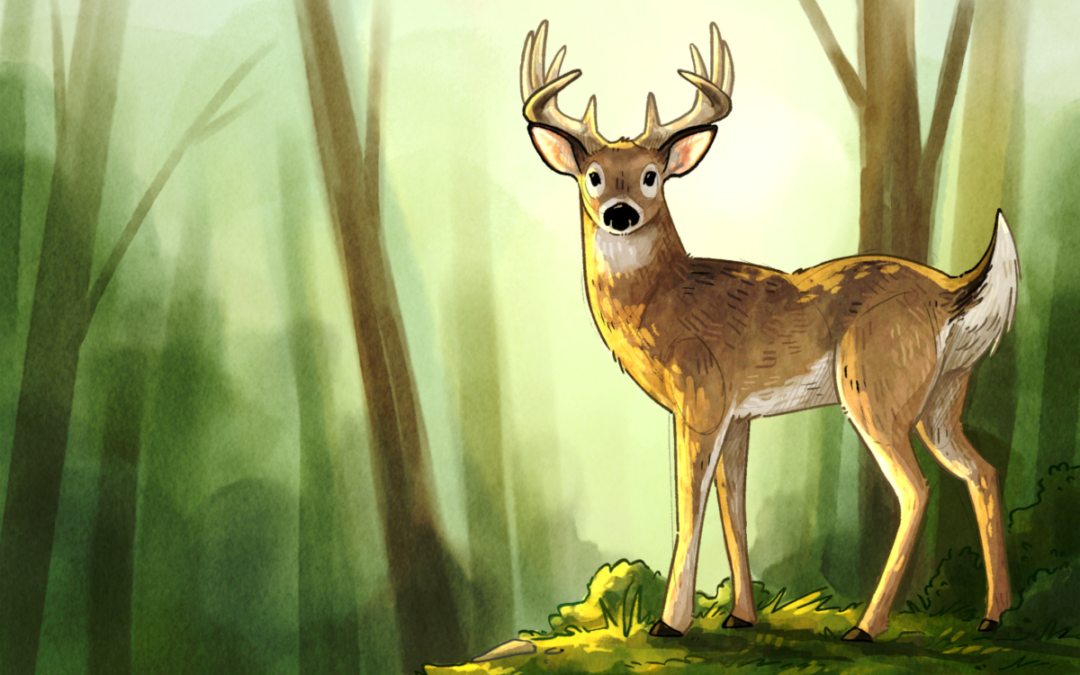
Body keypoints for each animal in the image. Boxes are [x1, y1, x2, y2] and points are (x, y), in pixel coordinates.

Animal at [520, 20, 1019, 642]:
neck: (667, 302)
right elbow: (733, 506)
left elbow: (689, 505)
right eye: (592, 176)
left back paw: (867, 626)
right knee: (983, 472)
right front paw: (741, 615)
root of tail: (948, 291)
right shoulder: (739, 415)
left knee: (917, 489)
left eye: (650, 176)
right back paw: (995, 615)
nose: (619, 212)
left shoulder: (701, 397)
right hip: (941, 398)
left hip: (875, 388)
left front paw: (671, 623)